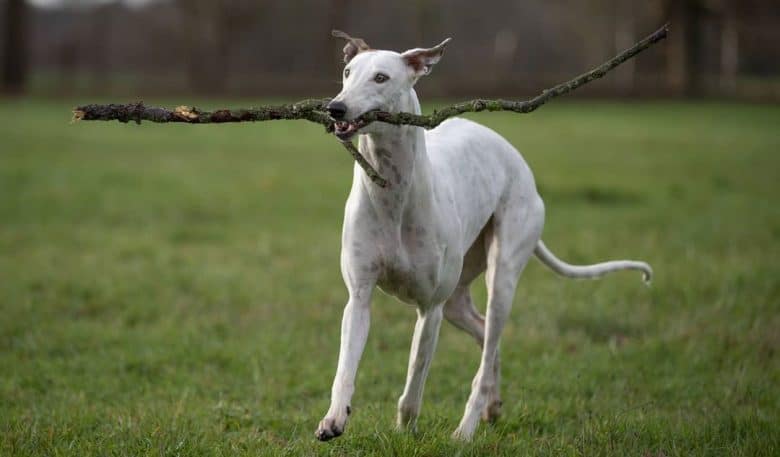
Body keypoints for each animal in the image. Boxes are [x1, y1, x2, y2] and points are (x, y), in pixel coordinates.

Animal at [314, 30, 648, 440]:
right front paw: (334, 418)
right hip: (459, 297)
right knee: (487, 338)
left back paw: (466, 428)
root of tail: (511, 153)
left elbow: (415, 378)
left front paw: (405, 429)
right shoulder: (359, 297)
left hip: (501, 274)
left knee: (488, 347)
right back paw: (491, 405)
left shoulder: (431, 309)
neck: (392, 193)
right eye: (347, 72)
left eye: (381, 77)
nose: (336, 108)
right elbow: (345, 367)